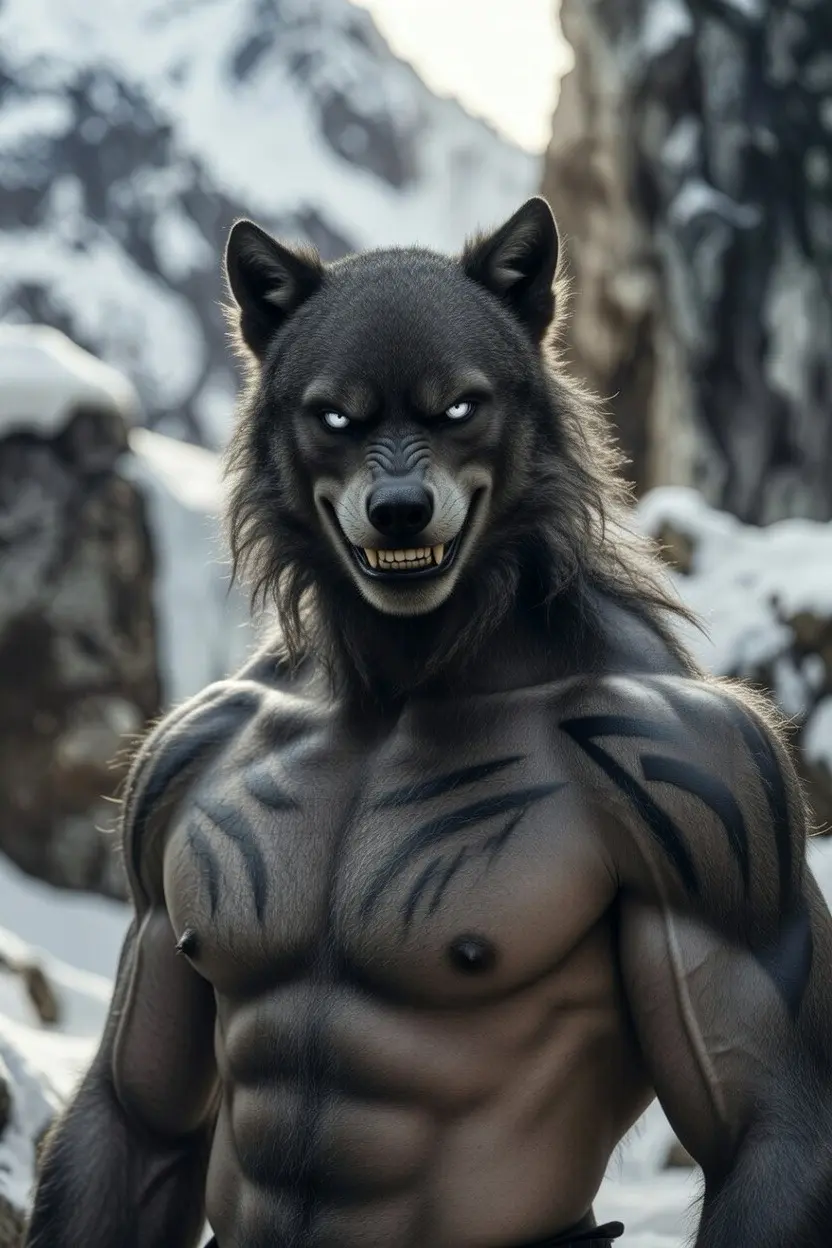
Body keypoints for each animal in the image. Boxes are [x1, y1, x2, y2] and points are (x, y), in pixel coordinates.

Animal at [24, 198, 832, 1248]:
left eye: (460, 408)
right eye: (336, 417)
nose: (401, 508)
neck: (406, 681)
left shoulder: (714, 787)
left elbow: (767, 1122)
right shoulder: (175, 761)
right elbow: (140, 1110)